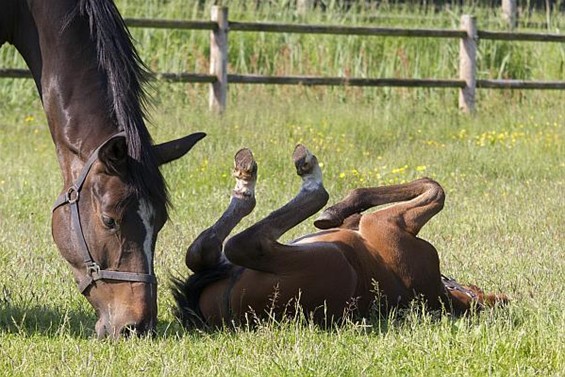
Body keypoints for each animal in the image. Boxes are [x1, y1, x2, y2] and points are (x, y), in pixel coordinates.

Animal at [172, 145, 506, 328]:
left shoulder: (384, 222)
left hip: (324, 258)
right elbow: (428, 186)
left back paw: (292, 175)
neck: (441, 293)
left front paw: (333, 210)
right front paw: (342, 210)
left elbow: (435, 188)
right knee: (204, 250)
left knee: (235, 244)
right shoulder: (368, 223)